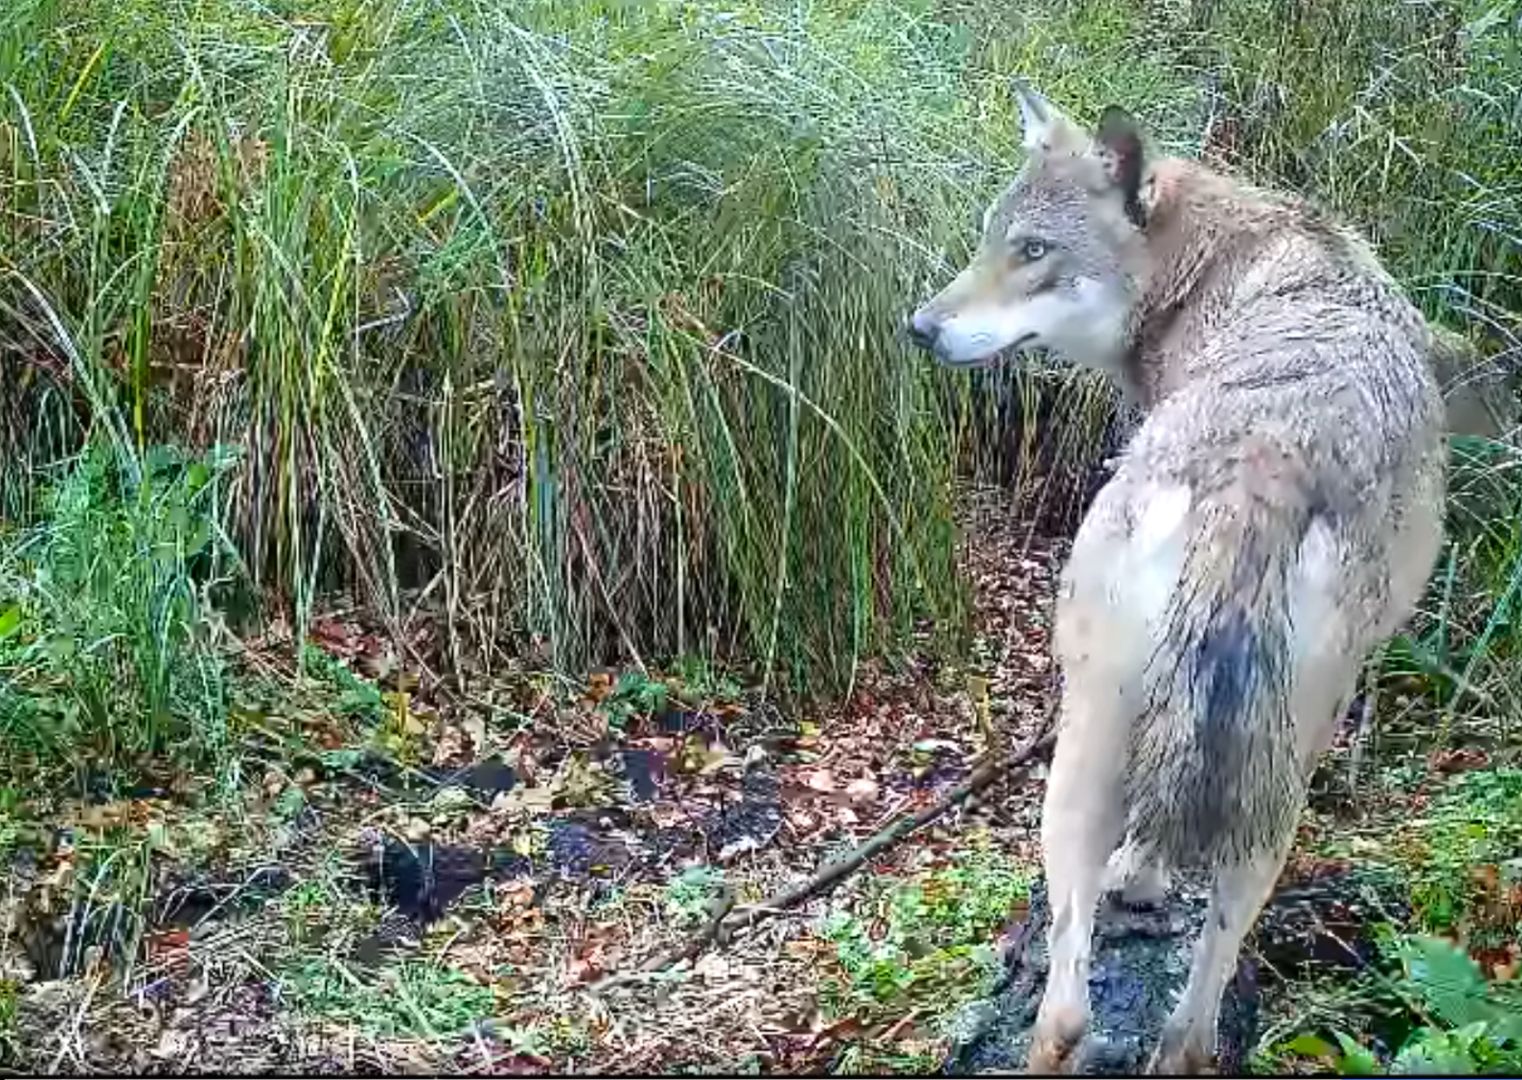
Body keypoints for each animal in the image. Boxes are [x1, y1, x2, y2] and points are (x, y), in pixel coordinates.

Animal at [907, 82, 1442, 1076]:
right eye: (992, 236)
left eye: (1032, 251)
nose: (917, 328)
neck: (1204, 265)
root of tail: (1265, 465)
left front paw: (1141, 882)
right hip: (1278, 782)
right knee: (1192, 1026)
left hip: (1082, 741)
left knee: (1065, 1007)